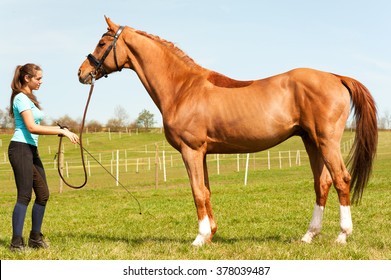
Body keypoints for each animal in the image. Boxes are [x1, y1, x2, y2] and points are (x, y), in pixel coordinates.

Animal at [78, 17, 378, 245]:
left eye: (102, 43)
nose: (81, 72)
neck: (183, 88)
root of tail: (336, 77)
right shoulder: (202, 153)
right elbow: (206, 191)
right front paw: (210, 234)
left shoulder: (190, 150)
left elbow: (197, 192)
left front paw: (199, 239)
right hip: (311, 141)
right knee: (322, 183)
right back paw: (308, 236)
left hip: (327, 141)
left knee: (341, 179)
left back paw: (342, 235)